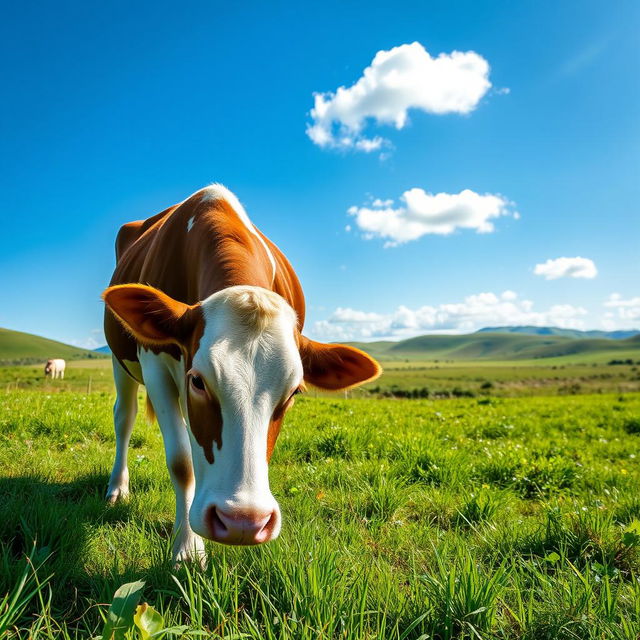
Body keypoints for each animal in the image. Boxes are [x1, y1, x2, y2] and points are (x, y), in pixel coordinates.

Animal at [103, 182, 382, 564]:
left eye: (294, 392)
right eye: (198, 380)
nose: (243, 522)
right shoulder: (155, 363)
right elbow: (181, 461)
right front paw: (187, 548)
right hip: (122, 361)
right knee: (124, 416)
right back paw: (118, 487)